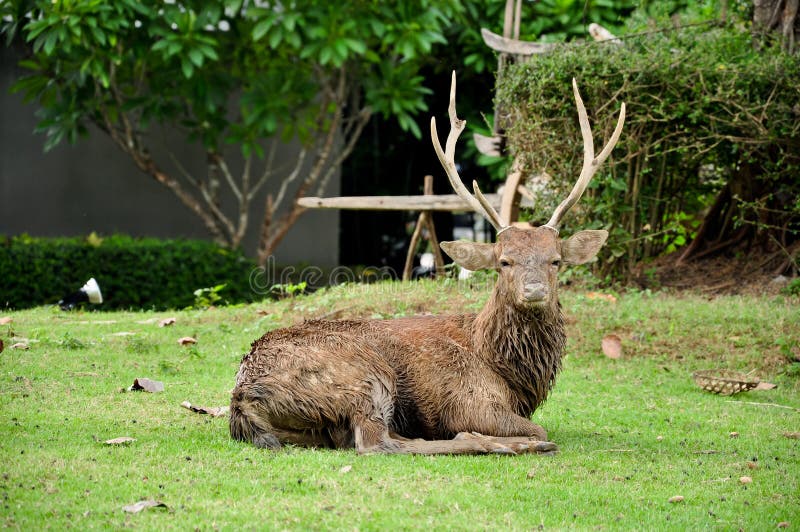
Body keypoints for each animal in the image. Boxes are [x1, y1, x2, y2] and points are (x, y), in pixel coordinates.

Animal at [231, 69, 624, 454]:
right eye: (504, 262)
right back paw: (500, 444)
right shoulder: (467, 399)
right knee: (375, 443)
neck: (509, 375)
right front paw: (519, 438)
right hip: (365, 374)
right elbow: (539, 427)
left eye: (555, 260)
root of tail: (241, 400)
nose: (534, 290)